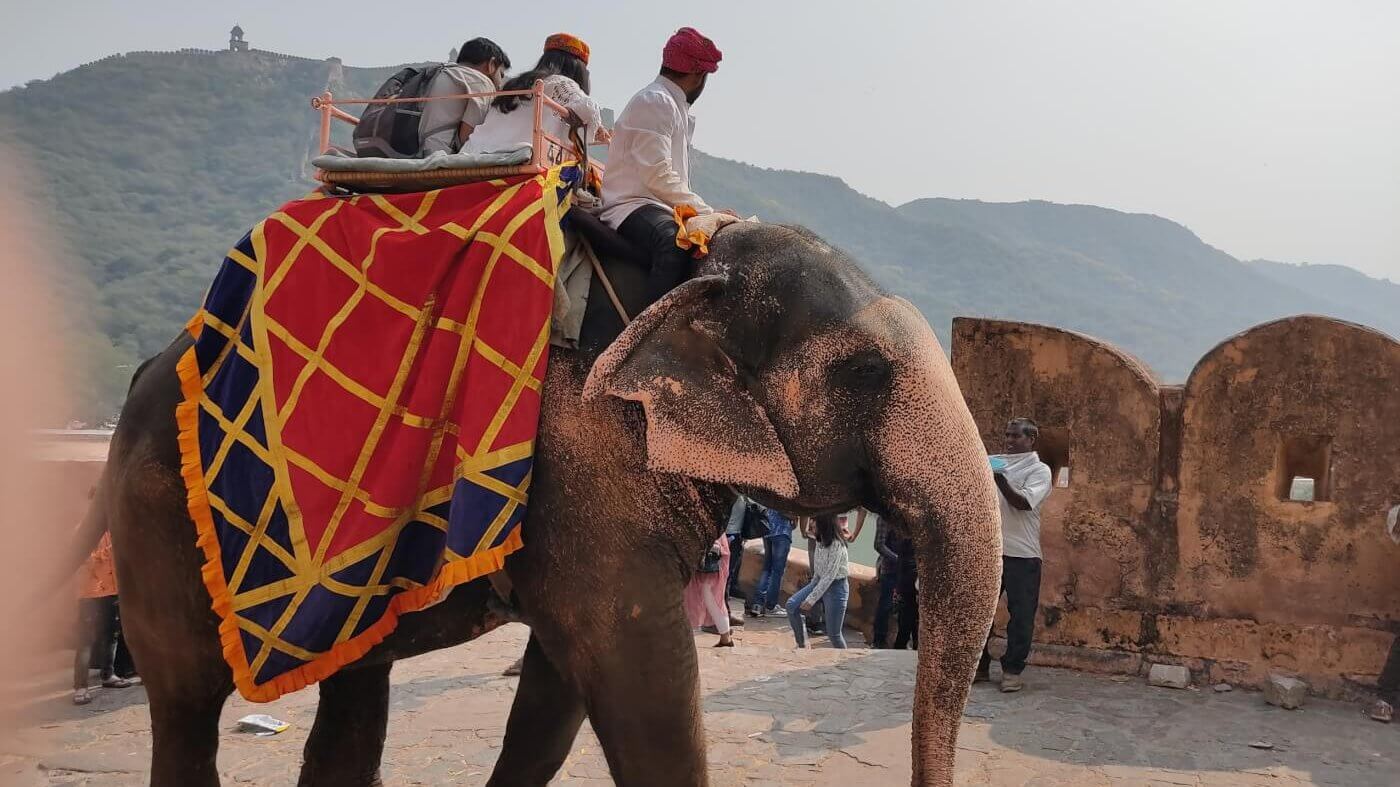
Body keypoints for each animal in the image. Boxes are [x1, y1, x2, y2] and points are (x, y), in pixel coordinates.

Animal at [66, 219, 1002, 786]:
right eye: (867, 371)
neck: (692, 269)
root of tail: (147, 369)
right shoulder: (584, 462)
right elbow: (642, 675)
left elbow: (560, 688)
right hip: (158, 520)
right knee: (188, 705)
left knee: (355, 693)